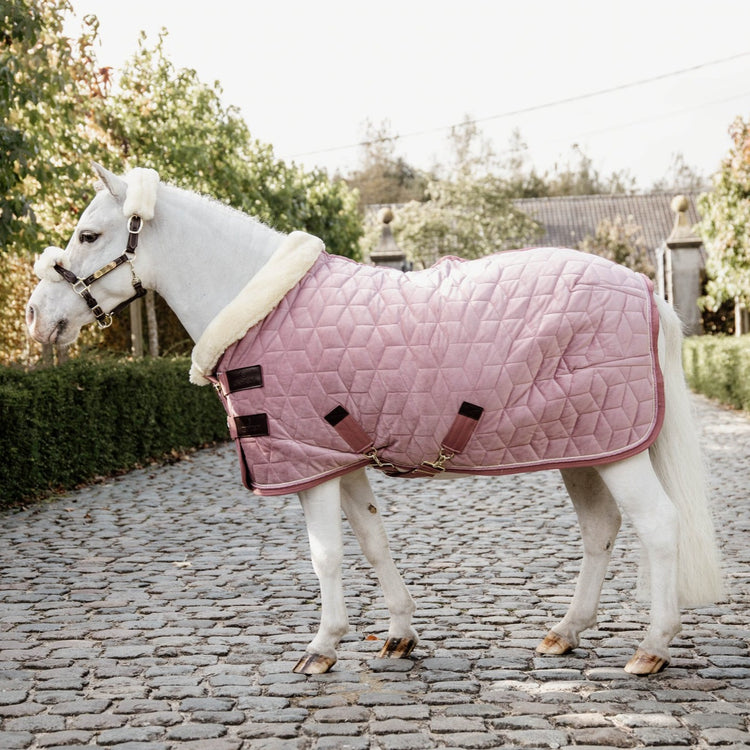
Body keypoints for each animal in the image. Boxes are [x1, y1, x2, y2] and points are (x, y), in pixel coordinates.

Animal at [26, 167, 724, 680]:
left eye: (89, 235)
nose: (36, 316)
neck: (266, 306)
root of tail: (646, 289)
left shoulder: (307, 463)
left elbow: (325, 554)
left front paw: (322, 647)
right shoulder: (341, 459)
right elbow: (371, 541)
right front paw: (399, 635)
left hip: (618, 450)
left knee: (658, 526)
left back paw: (653, 648)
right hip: (583, 443)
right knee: (601, 529)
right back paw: (564, 634)